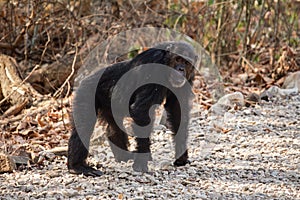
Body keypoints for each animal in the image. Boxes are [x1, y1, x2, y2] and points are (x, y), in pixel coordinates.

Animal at [68, 41, 199, 176]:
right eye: (178, 59)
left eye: (186, 62)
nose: (181, 69)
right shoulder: (153, 68)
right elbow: (142, 111)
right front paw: (141, 163)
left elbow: (177, 110)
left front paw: (182, 157)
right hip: (85, 95)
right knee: (84, 127)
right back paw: (77, 166)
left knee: (114, 127)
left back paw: (124, 155)